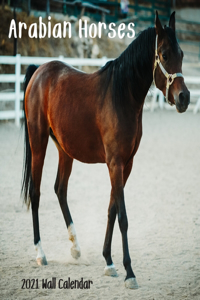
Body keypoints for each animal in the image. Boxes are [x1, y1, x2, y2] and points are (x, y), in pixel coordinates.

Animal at [21, 11, 190, 288]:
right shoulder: (115, 163)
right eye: (164, 55)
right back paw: (40, 253)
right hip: (38, 143)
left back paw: (76, 248)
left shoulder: (126, 164)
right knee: (35, 193)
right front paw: (129, 271)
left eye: (182, 54)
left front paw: (109, 262)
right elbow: (123, 217)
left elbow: (111, 210)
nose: (184, 98)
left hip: (65, 150)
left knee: (60, 190)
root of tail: (40, 72)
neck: (122, 96)